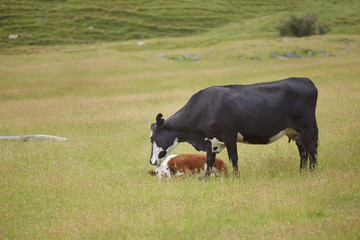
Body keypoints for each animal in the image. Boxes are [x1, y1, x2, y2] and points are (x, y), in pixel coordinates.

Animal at [149, 78, 318, 177]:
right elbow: (209, 160)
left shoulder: (229, 134)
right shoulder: (212, 141)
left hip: (307, 127)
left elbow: (233, 158)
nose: (151, 161)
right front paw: (206, 178)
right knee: (303, 152)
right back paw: (301, 172)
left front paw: (236, 177)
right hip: (296, 132)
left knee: (311, 150)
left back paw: (312, 171)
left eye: (152, 139)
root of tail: (306, 80)